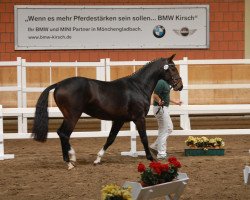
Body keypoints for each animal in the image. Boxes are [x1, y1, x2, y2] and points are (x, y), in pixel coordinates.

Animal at [32, 54, 183, 169]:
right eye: (172, 67)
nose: (180, 86)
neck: (138, 86)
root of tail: (59, 84)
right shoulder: (139, 118)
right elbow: (144, 138)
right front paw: (151, 158)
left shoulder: (119, 120)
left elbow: (110, 139)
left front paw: (98, 159)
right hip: (73, 116)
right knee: (64, 134)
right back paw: (70, 161)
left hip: (69, 116)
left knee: (61, 133)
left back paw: (71, 159)